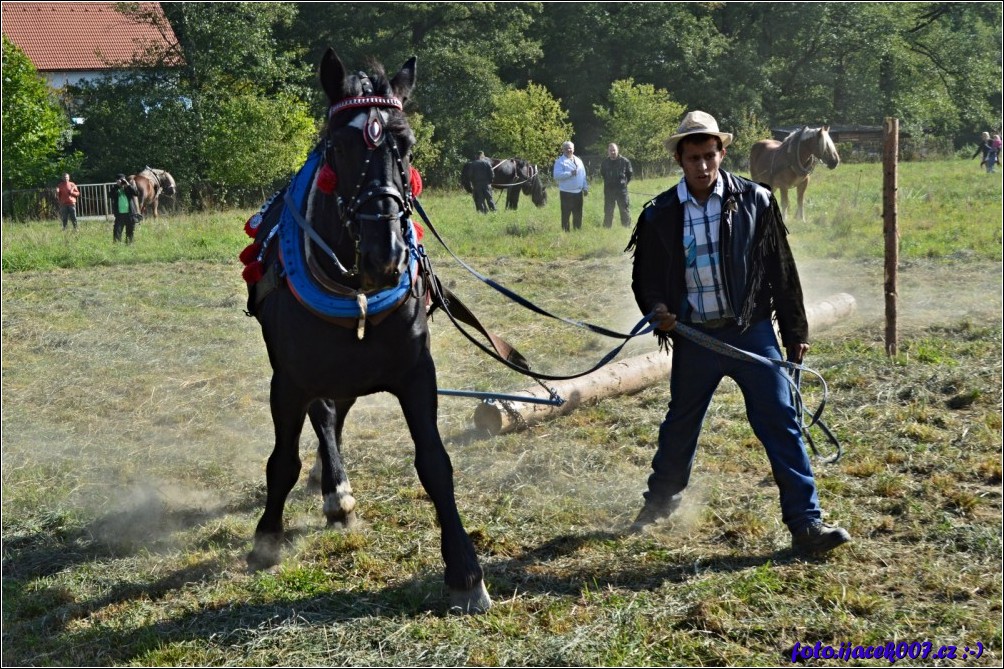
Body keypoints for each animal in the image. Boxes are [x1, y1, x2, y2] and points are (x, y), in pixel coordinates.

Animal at [238, 45, 489, 610]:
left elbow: (435, 463)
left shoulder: (417, 373)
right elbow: (281, 462)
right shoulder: (289, 381)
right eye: (340, 147)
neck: (354, 289)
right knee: (323, 418)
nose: (385, 253)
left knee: (336, 416)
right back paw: (334, 490)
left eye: (406, 145)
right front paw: (267, 537)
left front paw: (464, 570)